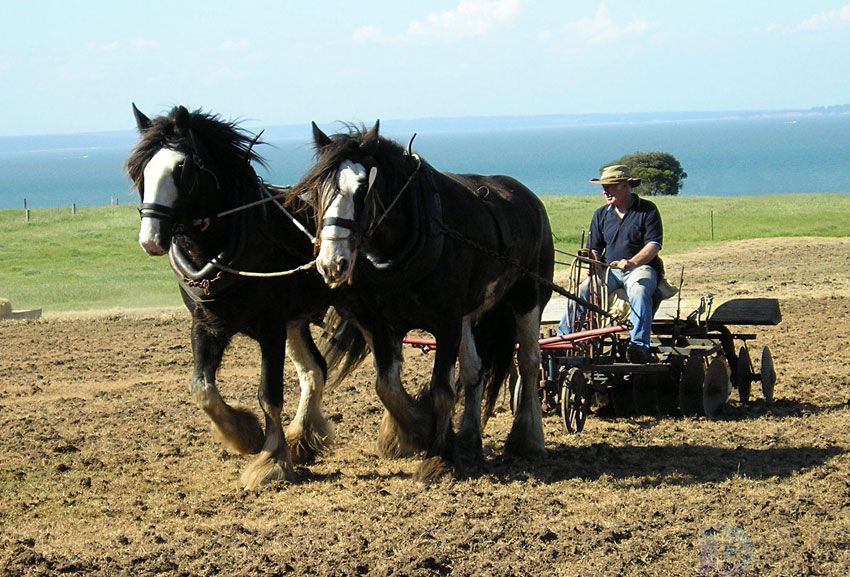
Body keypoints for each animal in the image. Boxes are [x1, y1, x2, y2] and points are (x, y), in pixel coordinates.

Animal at [127, 103, 332, 486]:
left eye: (182, 168)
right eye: (141, 171)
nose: (151, 238)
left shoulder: (271, 329)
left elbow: (269, 395)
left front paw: (272, 460)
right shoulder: (206, 324)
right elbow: (202, 388)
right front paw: (245, 434)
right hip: (297, 320)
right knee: (315, 370)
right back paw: (302, 437)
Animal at [294, 120, 552, 476]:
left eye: (362, 189)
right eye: (317, 191)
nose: (333, 263)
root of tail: (529, 199)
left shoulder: (446, 323)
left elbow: (442, 388)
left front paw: (438, 454)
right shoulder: (383, 324)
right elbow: (387, 385)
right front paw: (416, 430)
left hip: (528, 297)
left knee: (528, 361)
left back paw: (528, 437)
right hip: (471, 314)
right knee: (474, 370)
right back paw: (469, 441)